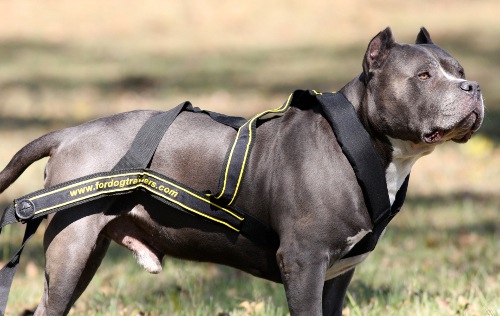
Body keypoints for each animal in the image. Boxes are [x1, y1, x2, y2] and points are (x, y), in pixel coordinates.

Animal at [0, 26, 484, 314]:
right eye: (424, 76)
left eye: (459, 69)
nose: (474, 86)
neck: (359, 143)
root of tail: (69, 133)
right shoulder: (304, 263)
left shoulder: (337, 275)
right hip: (72, 250)